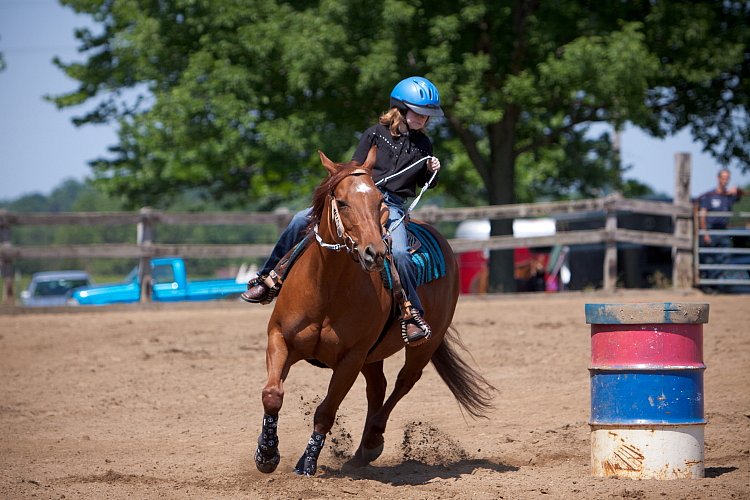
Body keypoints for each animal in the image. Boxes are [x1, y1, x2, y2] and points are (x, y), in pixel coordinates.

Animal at [256, 146, 496, 474]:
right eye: (342, 202)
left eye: (379, 201)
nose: (375, 252)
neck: (326, 287)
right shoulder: (280, 339)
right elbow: (272, 394)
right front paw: (266, 454)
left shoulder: (351, 359)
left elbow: (326, 411)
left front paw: (306, 463)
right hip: (373, 354)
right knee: (378, 387)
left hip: (423, 345)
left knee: (403, 382)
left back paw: (371, 442)